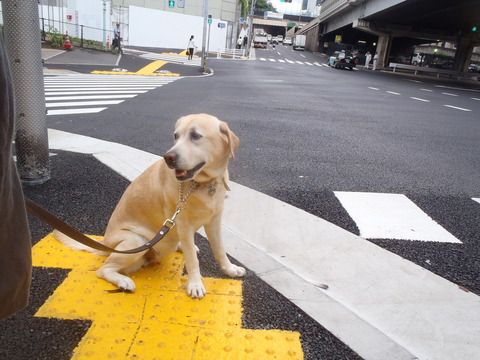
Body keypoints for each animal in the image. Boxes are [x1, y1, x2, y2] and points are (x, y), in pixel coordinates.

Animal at [54, 113, 246, 298]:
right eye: (176, 136)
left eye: (195, 135)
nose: (168, 157)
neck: (203, 184)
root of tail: (106, 245)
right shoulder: (184, 225)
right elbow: (192, 260)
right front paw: (195, 285)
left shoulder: (214, 222)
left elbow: (220, 250)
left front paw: (230, 269)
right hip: (136, 240)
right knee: (103, 270)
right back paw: (123, 281)